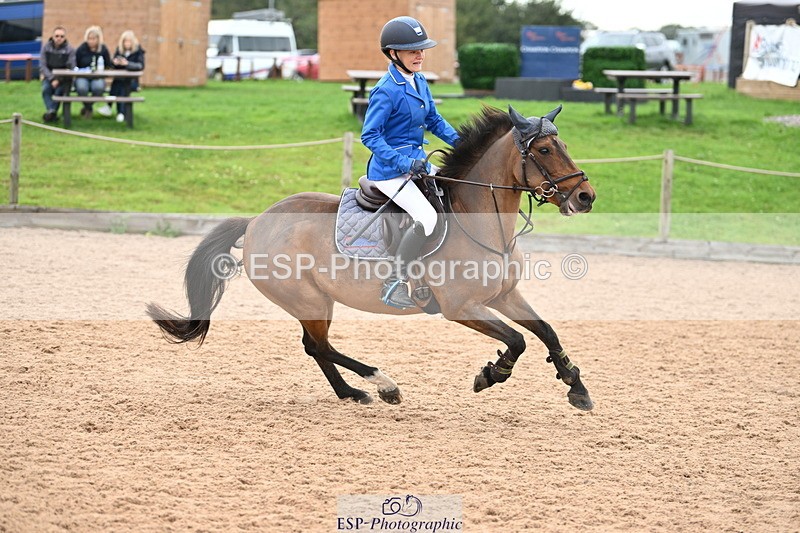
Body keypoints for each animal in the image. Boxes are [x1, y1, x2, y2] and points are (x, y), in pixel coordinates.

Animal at [147, 104, 597, 410]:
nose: (585, 197)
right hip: (307, 299)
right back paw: (383, 384)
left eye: (563, 145)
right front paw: (490, 374)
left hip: (316, 300)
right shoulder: (462, 307)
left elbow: (546, 331)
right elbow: (517, 340)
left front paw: (576, 387)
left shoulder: (504, 296)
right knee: (320, 346)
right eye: (544, 149)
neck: (483, 222)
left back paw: (351, 392)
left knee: (315, 348)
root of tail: (256, 221)